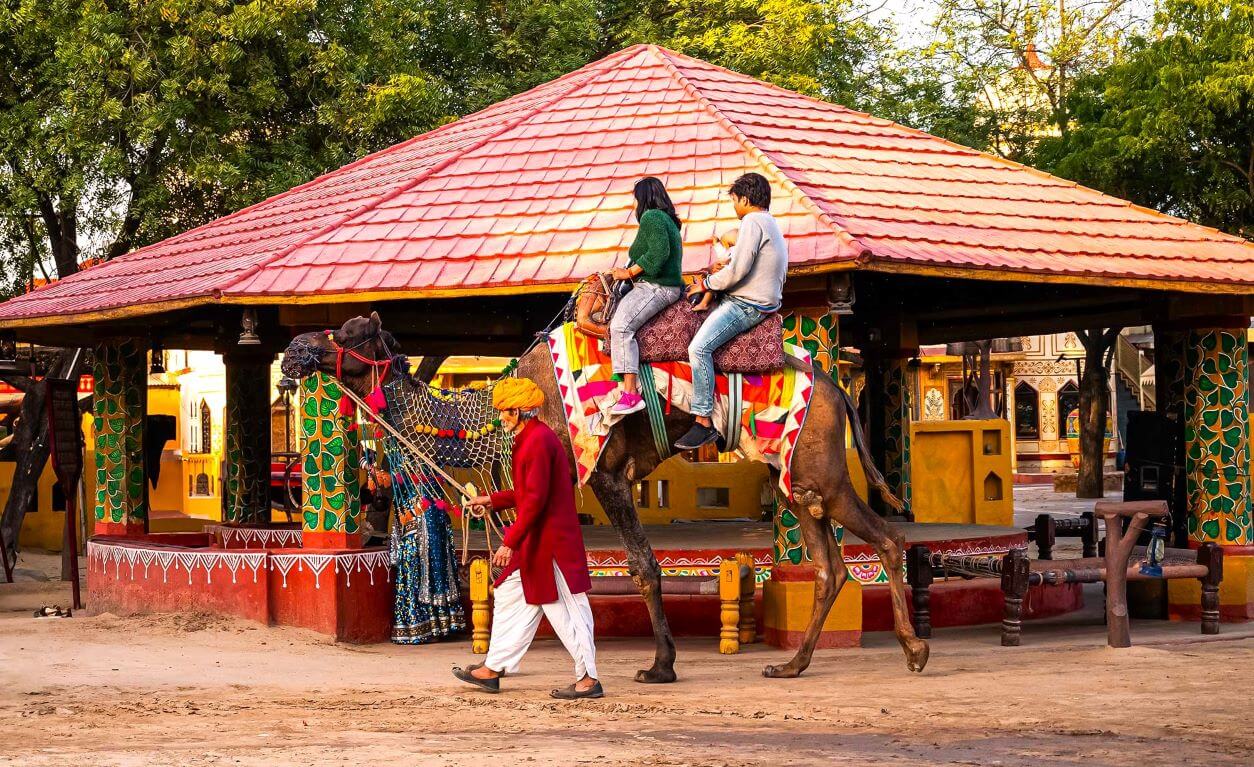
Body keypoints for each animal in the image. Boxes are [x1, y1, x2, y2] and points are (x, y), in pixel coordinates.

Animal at [287, 308, 932, 681]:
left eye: (346, 332)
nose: (295, 350)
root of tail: (835, 385)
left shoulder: (604, 472)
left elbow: (643, 566)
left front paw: (660, 665)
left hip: (821, 468)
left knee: (887, 538)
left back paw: (914, 650)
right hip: (798, 480)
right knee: (830, 568)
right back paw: (792, 664)